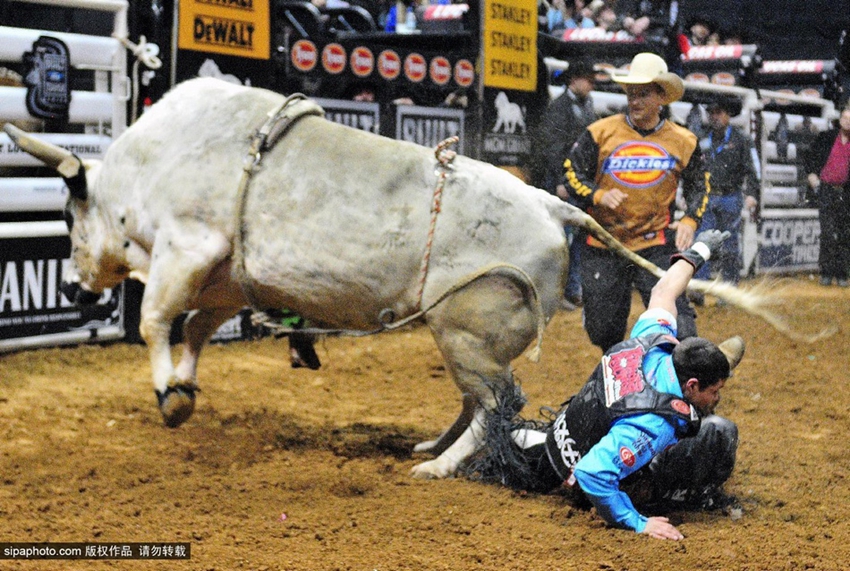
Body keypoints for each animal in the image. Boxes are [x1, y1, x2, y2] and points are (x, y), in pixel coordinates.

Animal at [1, 76, 768, 478]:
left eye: (68, 215)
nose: (70, 287)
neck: (151, 161)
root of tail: (553, 202)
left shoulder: (188, 246)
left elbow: (158, 319)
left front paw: (168, 393)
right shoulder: (227, 275)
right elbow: (194, 327)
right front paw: (185, 387)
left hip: (466, 329)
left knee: (501, 398)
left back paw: (440, 466)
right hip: (456, 335)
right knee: (481, 396)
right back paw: (433, 445)